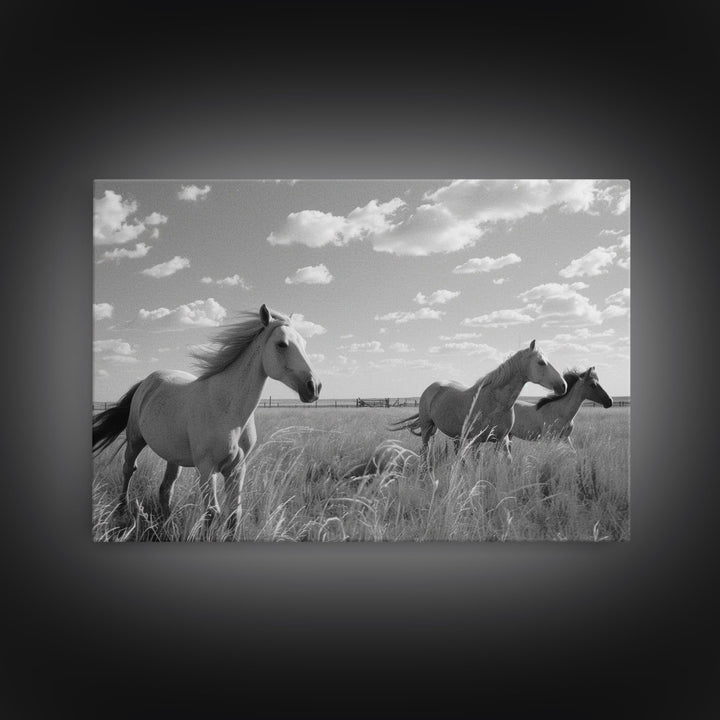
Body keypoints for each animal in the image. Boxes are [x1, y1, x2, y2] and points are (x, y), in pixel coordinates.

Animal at [92, 304, 321, 528]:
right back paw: (122, 509)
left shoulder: (237, 468)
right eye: (282, 344)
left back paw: (166, 526)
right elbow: (212, 513)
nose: (314, 387)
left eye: (304, 343)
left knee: (165, 489)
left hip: (173, 457)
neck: (227, 408)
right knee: (128, 469)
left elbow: (234, 514)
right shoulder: (206, 468)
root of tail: (147, 381)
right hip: (135, 440)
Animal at [389, 340, 566, 460]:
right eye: (541, 362)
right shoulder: (476, 441)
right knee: (425, 450)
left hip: (454, 435)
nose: (563, 386)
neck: (496, 402)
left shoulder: (502, 439)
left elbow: (507, 462)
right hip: (427, 427)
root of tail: (431, 387)